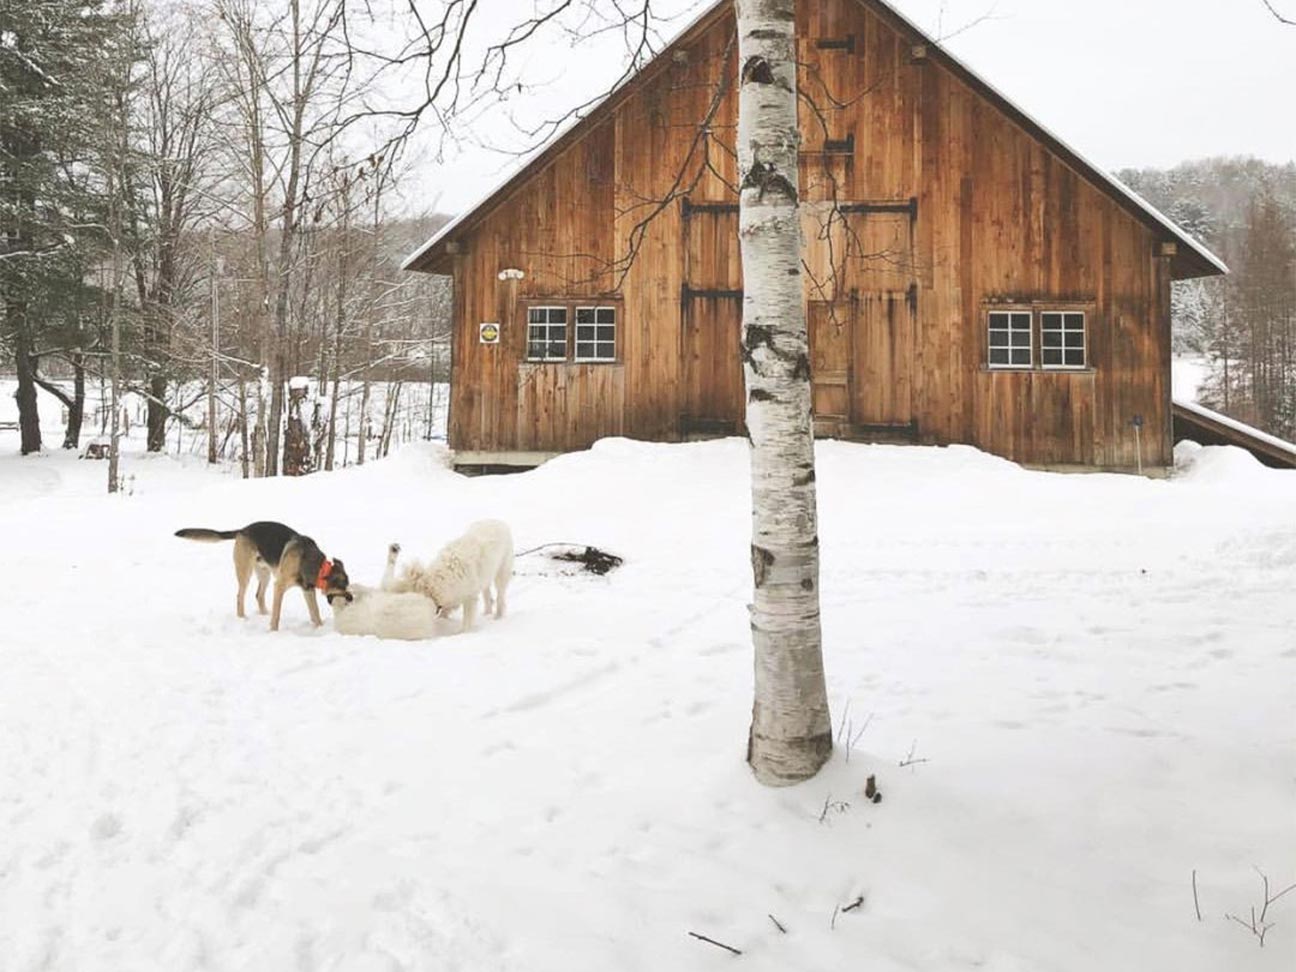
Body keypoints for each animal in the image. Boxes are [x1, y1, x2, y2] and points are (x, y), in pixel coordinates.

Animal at [177, 520, 352, 635]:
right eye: (343, 586)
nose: (351, 598)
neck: (318, 567)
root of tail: (242, 530)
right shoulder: (279, 586)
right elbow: (277, 614)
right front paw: (273, 632)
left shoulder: (307, 590)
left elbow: (315, 613)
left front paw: (320, 627)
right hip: (245, 572)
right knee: (240, 596)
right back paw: (243, 618)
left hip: (264, 574)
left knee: (259, 595)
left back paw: (263, 614)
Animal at [381, 520, 513, 635]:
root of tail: (499, 521)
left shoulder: (469, 597)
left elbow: (467, 618)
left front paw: (463, 632)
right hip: (486, 575)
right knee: (487, 592)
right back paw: (487, 612)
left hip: (502, 571)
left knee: (500, 595)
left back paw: (497, 616)